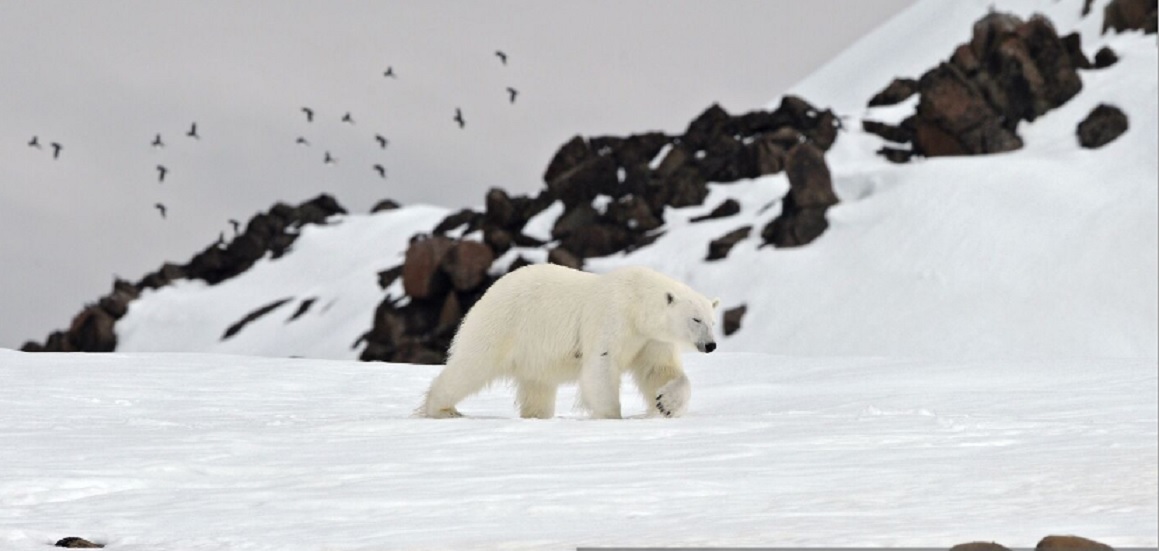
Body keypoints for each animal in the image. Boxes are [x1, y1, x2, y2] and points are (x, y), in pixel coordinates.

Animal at [421, 265, 718, 419]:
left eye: (712, 321)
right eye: (695, 319)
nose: (711, 345)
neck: (637, 301)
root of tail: (490, 290)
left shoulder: (650, 338)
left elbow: (659, 371)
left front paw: (665, 404)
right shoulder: (610, 317)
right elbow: (600, 366)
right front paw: (611, 416)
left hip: (533, 353)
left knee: (538, 389)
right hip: (503, 325)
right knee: (472, 366)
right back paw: (442, 409)